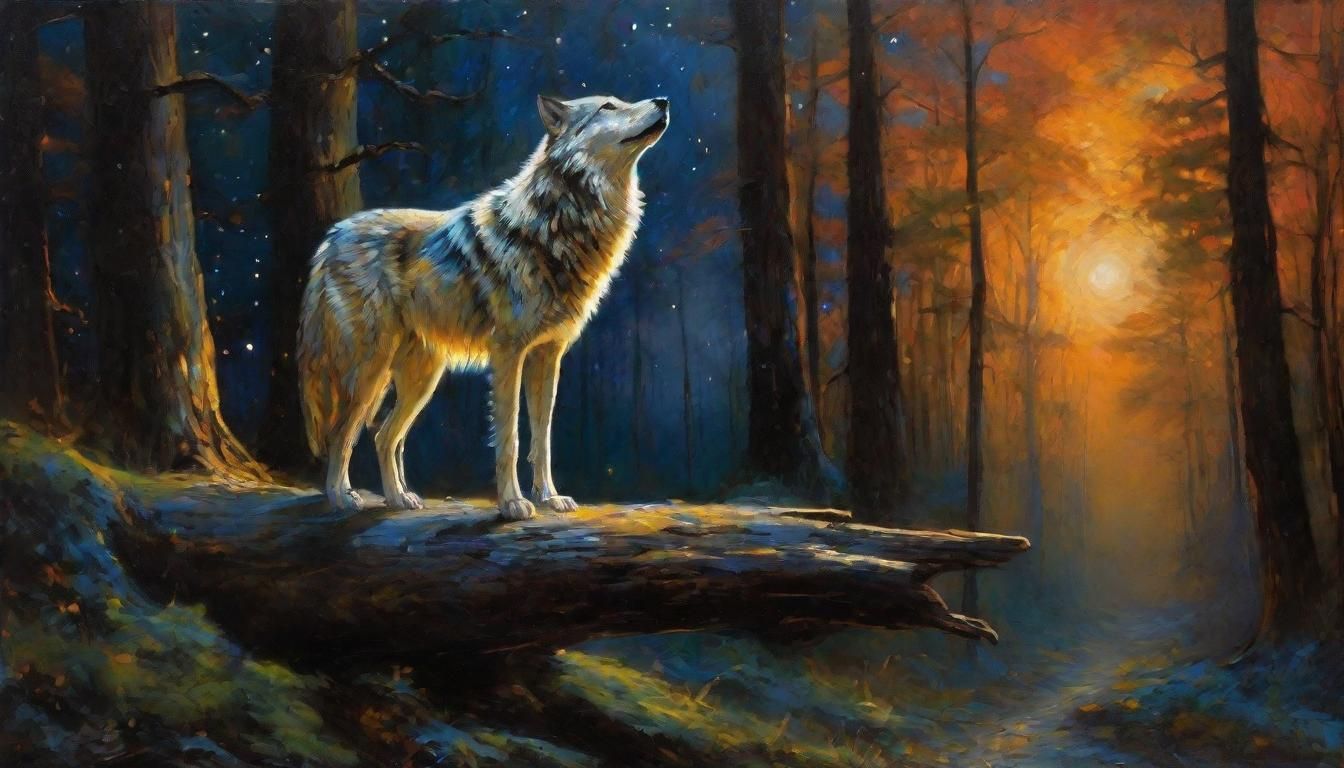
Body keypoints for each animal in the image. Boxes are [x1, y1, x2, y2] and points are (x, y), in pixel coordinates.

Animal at [297, 94, 668, 519]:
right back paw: (341, 497)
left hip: (421, 380)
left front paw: (550, 497)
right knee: (341, 434)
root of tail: (331, 238)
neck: (561, 221)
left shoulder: (548, 356)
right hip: (369, 371)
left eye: (620, 101)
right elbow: (509, 439)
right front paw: (513, 503)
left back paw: (398, 498)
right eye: (608, 106)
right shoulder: (507, 354)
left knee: (382, 436)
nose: (663, 100)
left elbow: (542, 437)